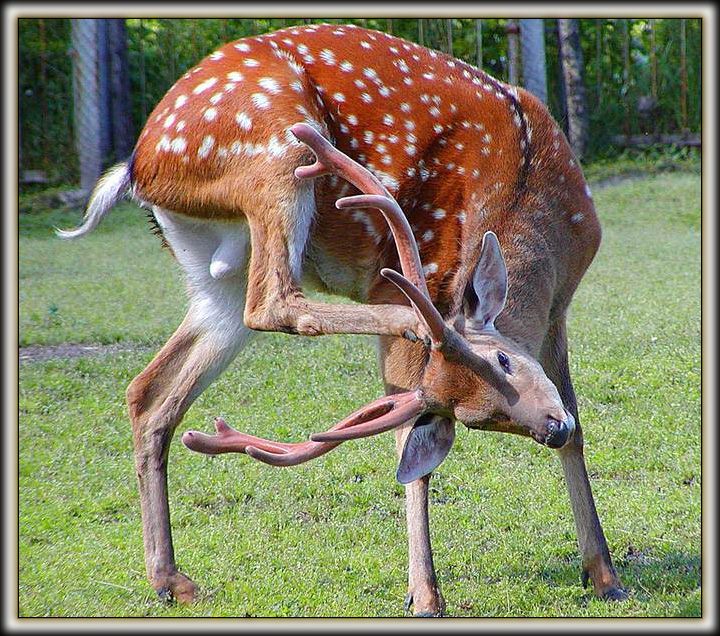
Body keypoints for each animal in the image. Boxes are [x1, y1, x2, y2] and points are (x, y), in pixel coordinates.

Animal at [58, 23, 627, 616]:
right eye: (476, 415)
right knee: (272, 301)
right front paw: (424, 594)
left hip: (215, 274)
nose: (551, 429)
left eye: (503, 365)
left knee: (149, 392)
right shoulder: (410, 277)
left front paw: (605, 575)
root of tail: (137, 166)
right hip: (276, 147)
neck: (534, 202)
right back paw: (406, 317)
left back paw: (171, 579)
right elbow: (408, 448)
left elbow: (580, 423)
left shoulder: (560, 311)